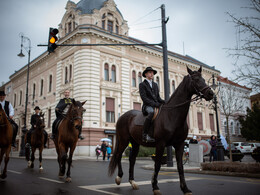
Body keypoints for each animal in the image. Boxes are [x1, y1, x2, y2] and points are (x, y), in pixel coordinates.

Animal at [108, 66, 214, 194]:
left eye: (203, 79)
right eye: (196, 79)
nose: (211, 93)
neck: (172, 115)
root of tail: (122, 116)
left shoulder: (179, 144)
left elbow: (180, 166)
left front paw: (185, 188)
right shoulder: (161, 144)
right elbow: (157, 164)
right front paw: (155, 187)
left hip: (135, 143)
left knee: (132, 159)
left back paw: (132, 182)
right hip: (124, 140)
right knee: (119, 155)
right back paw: (119, 178)